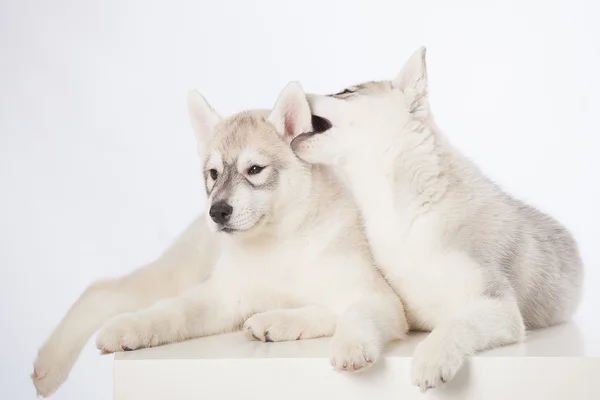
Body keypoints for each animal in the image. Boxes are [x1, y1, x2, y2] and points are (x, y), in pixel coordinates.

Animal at [32, 82, 408, 396]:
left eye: (254, 170)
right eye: (213, 174)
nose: (218, 212)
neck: (279, 242)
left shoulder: (380, 298)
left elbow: (351, 313)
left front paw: (339, 342)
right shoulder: (224, 296)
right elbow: (174, 312)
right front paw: (134, 328)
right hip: (177, 274)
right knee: (103, 292)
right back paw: (51, 364)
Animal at [290, 47, 580, 390]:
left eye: (346, 91)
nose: (295, 87)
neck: (404, 210)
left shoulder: (497, 306)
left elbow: (455, 324)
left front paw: (433, 358)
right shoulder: (393, 304)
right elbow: (352, 312)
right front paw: (341, 340)